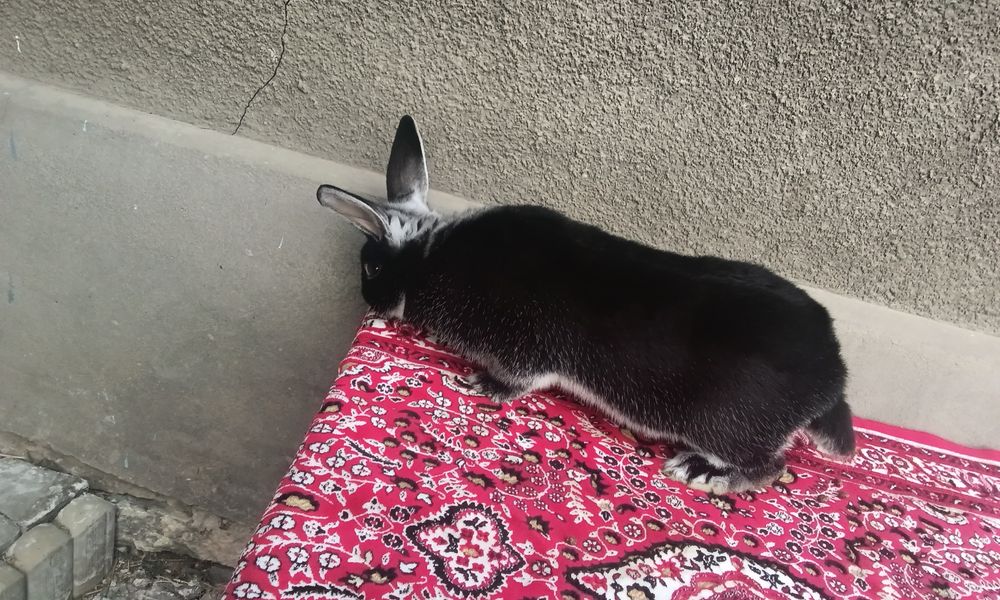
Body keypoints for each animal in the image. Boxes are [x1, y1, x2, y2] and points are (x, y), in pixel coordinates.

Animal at [317, 115, 855, 495]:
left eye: (371, 269)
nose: (367, 299)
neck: (430, 255)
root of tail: (832, 375)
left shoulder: (522, 346)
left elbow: (519, 379)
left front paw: (482, 385)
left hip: (727, 425)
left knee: (771, 466)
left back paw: (702, 473)